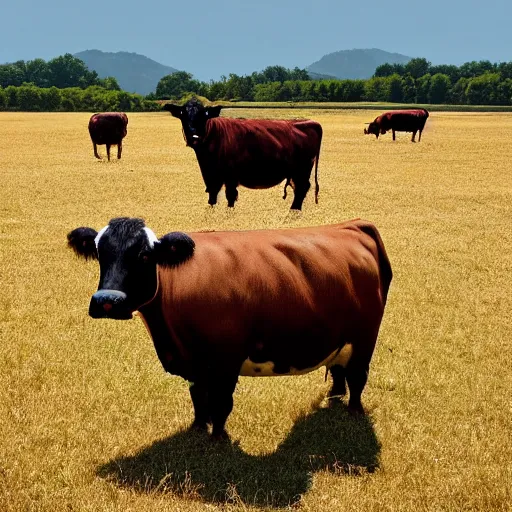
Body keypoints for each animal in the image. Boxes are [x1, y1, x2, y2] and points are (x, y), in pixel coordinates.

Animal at [68, 216, 394, 440]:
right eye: (99, 253)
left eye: (145, 256)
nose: (107, 302)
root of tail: (351, 225)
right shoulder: (194, 362)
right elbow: (199, 397)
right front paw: (198, 427)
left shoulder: (226, 360)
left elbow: (221, 402)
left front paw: (218, 438)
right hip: (340, 338)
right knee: (339, 370)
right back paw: (334, 398)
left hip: (366, 337)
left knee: (357, 377)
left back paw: (353, 410)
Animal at [164, 100, 322, 210]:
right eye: (183, 115)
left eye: (204, 116)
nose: (194, 136)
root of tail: (308, 122)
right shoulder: (211, 177)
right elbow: (212, 197)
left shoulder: (230, 176)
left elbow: (230, 197)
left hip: (302, 169)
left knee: (301, 188)